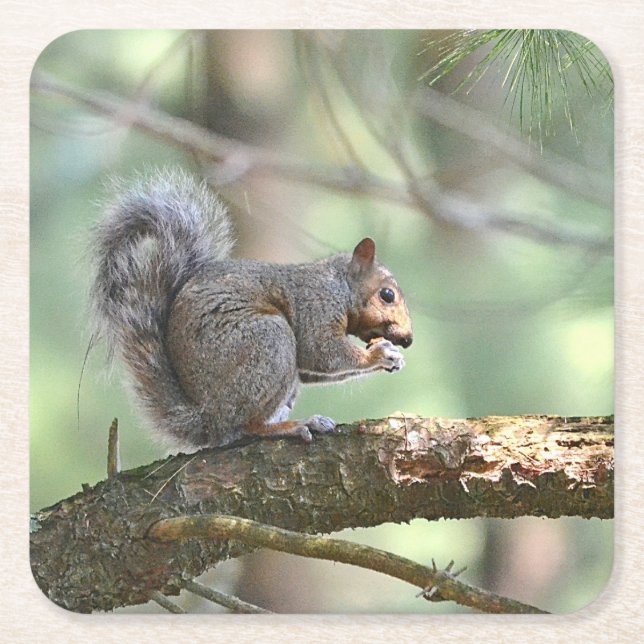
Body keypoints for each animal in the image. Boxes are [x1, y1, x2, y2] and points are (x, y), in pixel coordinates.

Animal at [90, 168, 413, 450]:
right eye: (387, 295)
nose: (408, 339)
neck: (339, 286)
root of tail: (209, 418)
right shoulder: (315, 306)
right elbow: (320, 351)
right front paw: (379, 355)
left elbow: (312, 368)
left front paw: (393, 359)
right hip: (269, 342)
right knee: (248, 426)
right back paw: (292, 426)